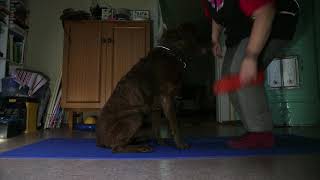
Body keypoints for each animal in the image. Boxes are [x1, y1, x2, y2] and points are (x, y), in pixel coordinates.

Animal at [95, 23, 200, 153]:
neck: (171, 51)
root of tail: (99, 141)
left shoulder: (157, 106)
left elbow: (156, 127)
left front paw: (161, 142)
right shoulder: (167, 98)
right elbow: (174, 124)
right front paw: (181, 145)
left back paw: (141, 140)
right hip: (135, 117)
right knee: (117, 147)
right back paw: (141, 147)